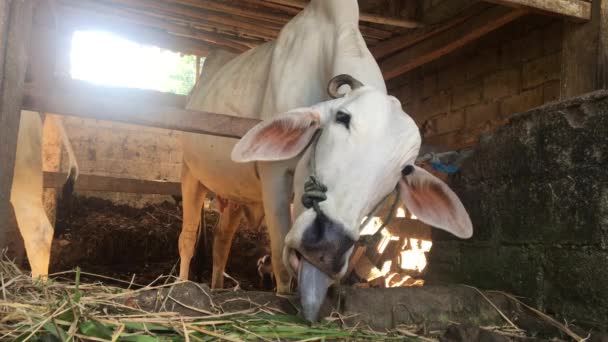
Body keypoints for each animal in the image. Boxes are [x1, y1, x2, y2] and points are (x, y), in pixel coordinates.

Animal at [178, 0, 472, 320]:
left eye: (405, 169)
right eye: (342, 117)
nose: (326, 245)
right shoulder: (274, 176)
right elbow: (280, 257)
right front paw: (283, 296)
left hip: (235, 196)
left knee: (221, 240)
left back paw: (217, 288)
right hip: (190, 173)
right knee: (187, 237)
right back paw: (180, 285)